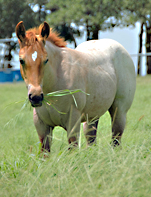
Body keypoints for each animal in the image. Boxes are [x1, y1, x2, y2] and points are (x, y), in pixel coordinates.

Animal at [15, 21, 136, 151]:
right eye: (21, 60)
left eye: (46, 60)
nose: (36, 97)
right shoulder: (42, 126)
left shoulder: (72, 123)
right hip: (91, 117)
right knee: (91, 140)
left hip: (119, 112)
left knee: (116, 140)